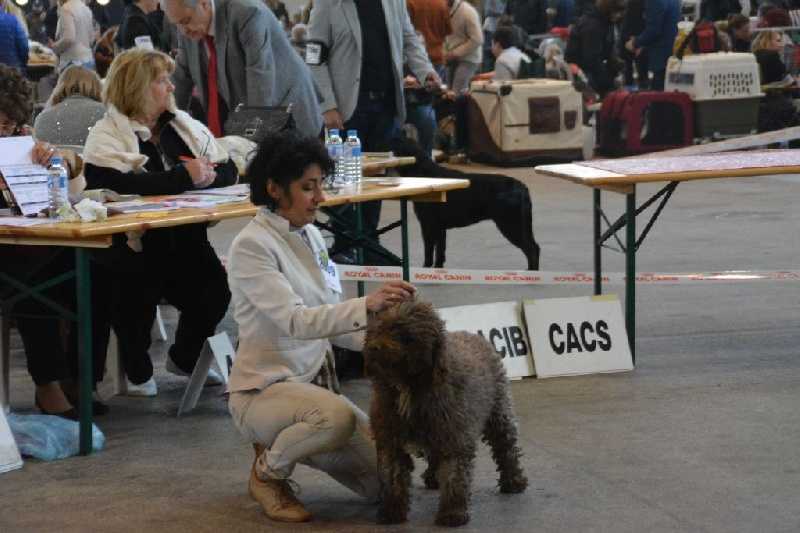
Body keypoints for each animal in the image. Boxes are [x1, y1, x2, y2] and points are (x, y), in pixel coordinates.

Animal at [364, 300, 528, 524]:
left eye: (403, 333)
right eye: (378, 328)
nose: (373, 348)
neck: (409, 386)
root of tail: (474, 336)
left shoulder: (454, 437)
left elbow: (453, 475)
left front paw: (452, 512)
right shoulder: (391, 440)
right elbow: (393, 477)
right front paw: (392, 510)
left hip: (499, 416)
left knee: (507, 448)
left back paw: (514, 481)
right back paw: (432, 478)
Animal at [390, 137, 540, 270]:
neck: (423, 172)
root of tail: (522, 187)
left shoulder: (428, 224)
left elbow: (428, 251)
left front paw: (425, 268)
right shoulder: (440, 227)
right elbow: (440, 252)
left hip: (511, 224)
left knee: (532, 250)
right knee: (534, 247)